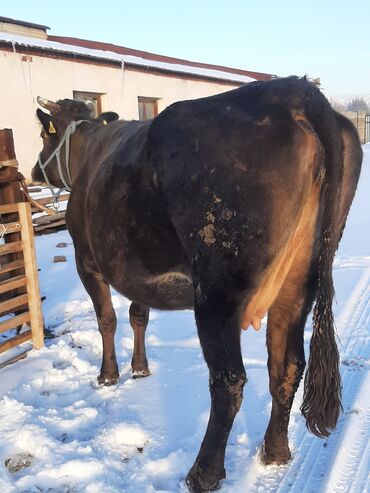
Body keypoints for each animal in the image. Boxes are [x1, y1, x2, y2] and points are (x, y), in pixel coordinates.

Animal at [31, 75, 362, 490]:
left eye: (44, 135)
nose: (34, 171)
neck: (88, 150)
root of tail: (294, 92)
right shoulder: (138, 271)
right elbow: (139, 314)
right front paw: (140, 369)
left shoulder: (85, 258)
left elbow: (107, 318)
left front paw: (108, 376)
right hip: (299, 280)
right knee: (285, 366)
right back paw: (275, 452)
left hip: (218, 290)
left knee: (229, 381)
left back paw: (203, 473)